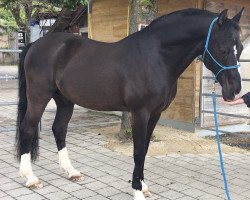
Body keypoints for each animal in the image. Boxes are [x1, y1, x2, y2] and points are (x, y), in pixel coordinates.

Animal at [16, 8, 243, 200]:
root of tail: (35, 45)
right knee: (27, 128)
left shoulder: (155, 114)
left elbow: (145, 149)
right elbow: (138, 151)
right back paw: (30, 178)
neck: (156, 57)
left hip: (64, 100)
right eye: (223, 49)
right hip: (39, 96)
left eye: (240, 48)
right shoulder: (140, 113)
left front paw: (143, 186)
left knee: (59, 129)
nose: (234, 90)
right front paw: (137, 191)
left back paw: (71, 172)